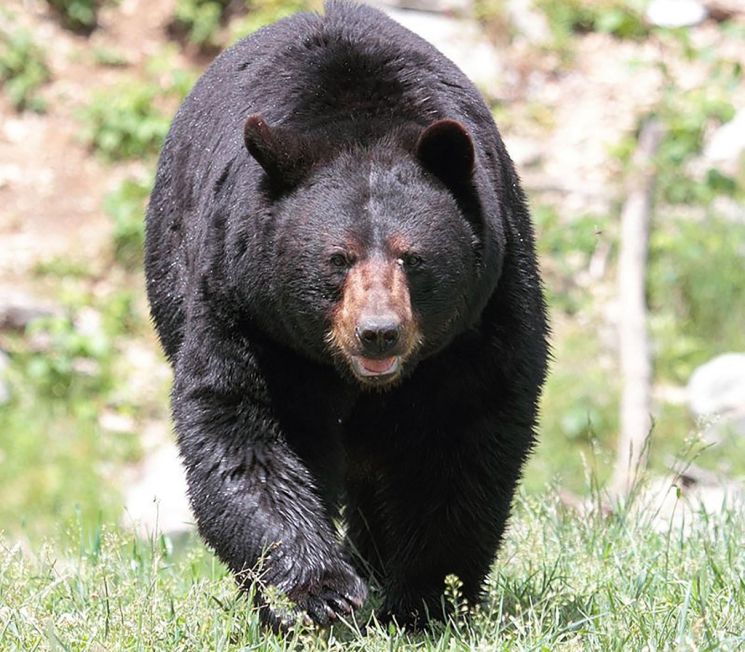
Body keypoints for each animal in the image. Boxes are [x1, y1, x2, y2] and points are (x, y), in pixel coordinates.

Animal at [145, 0, 548, 632]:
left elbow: (463, 436)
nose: (379, 333)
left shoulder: (484, 313)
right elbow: (246, 428)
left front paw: (427, 597)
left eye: (413, 257)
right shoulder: (249, 311)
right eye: (338, 258)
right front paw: (321, 592)